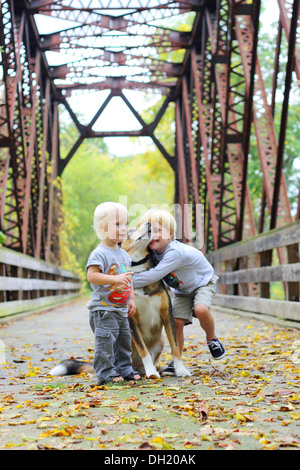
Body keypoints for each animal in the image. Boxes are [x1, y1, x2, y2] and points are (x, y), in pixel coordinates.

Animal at [49, 222, 190, 380]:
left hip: (160, 341)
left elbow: (175, 347)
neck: (138, 267)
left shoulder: (167, 316)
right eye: (131, 230)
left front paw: (180, 369)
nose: (149, 223)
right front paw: (151, 372)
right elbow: (143, 350)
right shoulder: (132, 320)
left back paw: (160, 370)